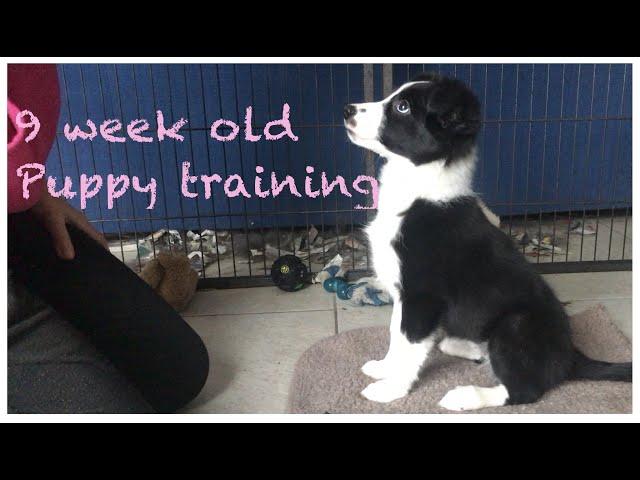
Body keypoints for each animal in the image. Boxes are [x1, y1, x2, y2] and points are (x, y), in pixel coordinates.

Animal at [342, 73, 632, 410]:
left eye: (402, 107)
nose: (347, 110)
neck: (419, 192)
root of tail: (570, 355)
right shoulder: (403, 295)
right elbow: (394, 332)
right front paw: (384, 367)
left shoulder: (422, 297)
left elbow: (409, 343)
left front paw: (392, 388)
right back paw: (468, 348)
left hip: (514, 326)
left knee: (523, 391)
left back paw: (466, 395)